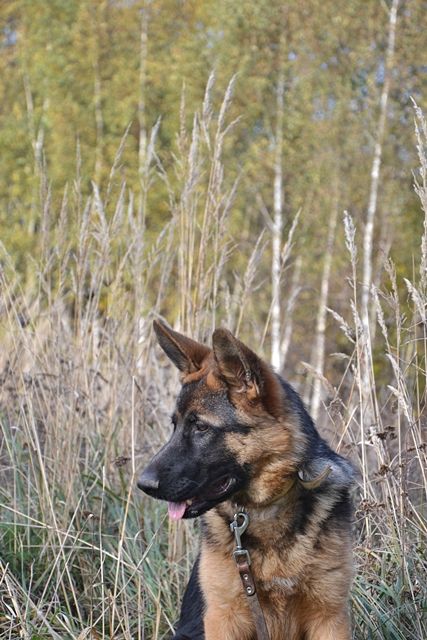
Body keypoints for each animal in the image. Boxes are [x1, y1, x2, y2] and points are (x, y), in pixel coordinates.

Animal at [138, 321, 354, 640]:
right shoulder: (223, 617)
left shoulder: (330, 618)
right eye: (174, 425)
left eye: (201, 427)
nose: (143, 484)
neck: (264, 511)